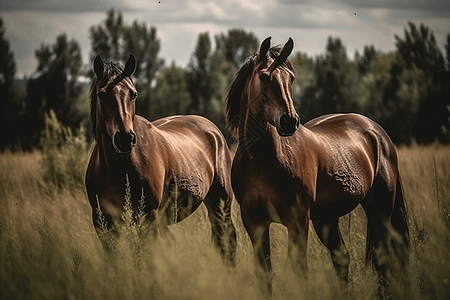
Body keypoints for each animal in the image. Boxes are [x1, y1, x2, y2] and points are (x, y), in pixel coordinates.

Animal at [85, 54, 237, 264]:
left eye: (133, 94)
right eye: (102, 94)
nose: (125, 139)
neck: (116, 168)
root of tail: (213, 130)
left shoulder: (147, 217)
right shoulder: (103, 222)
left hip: (221, 202)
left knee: (227, 240)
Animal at [227, 38, 410, 298]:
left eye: (291, 78)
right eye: (263, 77)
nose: (289, 121)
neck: (260, 159)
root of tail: (376, 132)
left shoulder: (298, 219)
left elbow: (299, 270)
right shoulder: (254, 221)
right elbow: (265, 274)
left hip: (381, 209)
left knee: (383, 259)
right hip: (327, 219)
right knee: (342, 258)